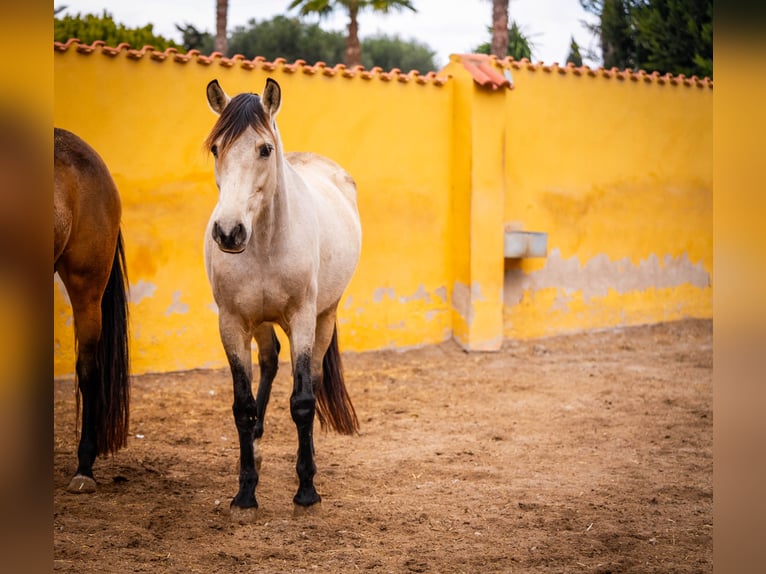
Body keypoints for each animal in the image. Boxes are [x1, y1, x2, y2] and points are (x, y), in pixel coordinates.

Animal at [202, 77, 362, 516]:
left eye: (264, 149)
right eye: (216, 148)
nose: (228, 232)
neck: (265, 243)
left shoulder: (303, 319)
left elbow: (303, 400)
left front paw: (306, 488)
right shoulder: (232, 323)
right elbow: (241, 405)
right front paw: (245, 490)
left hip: (325, 316)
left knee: (314, 378)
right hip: (260, 322)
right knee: (270, 361)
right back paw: (256, 445)